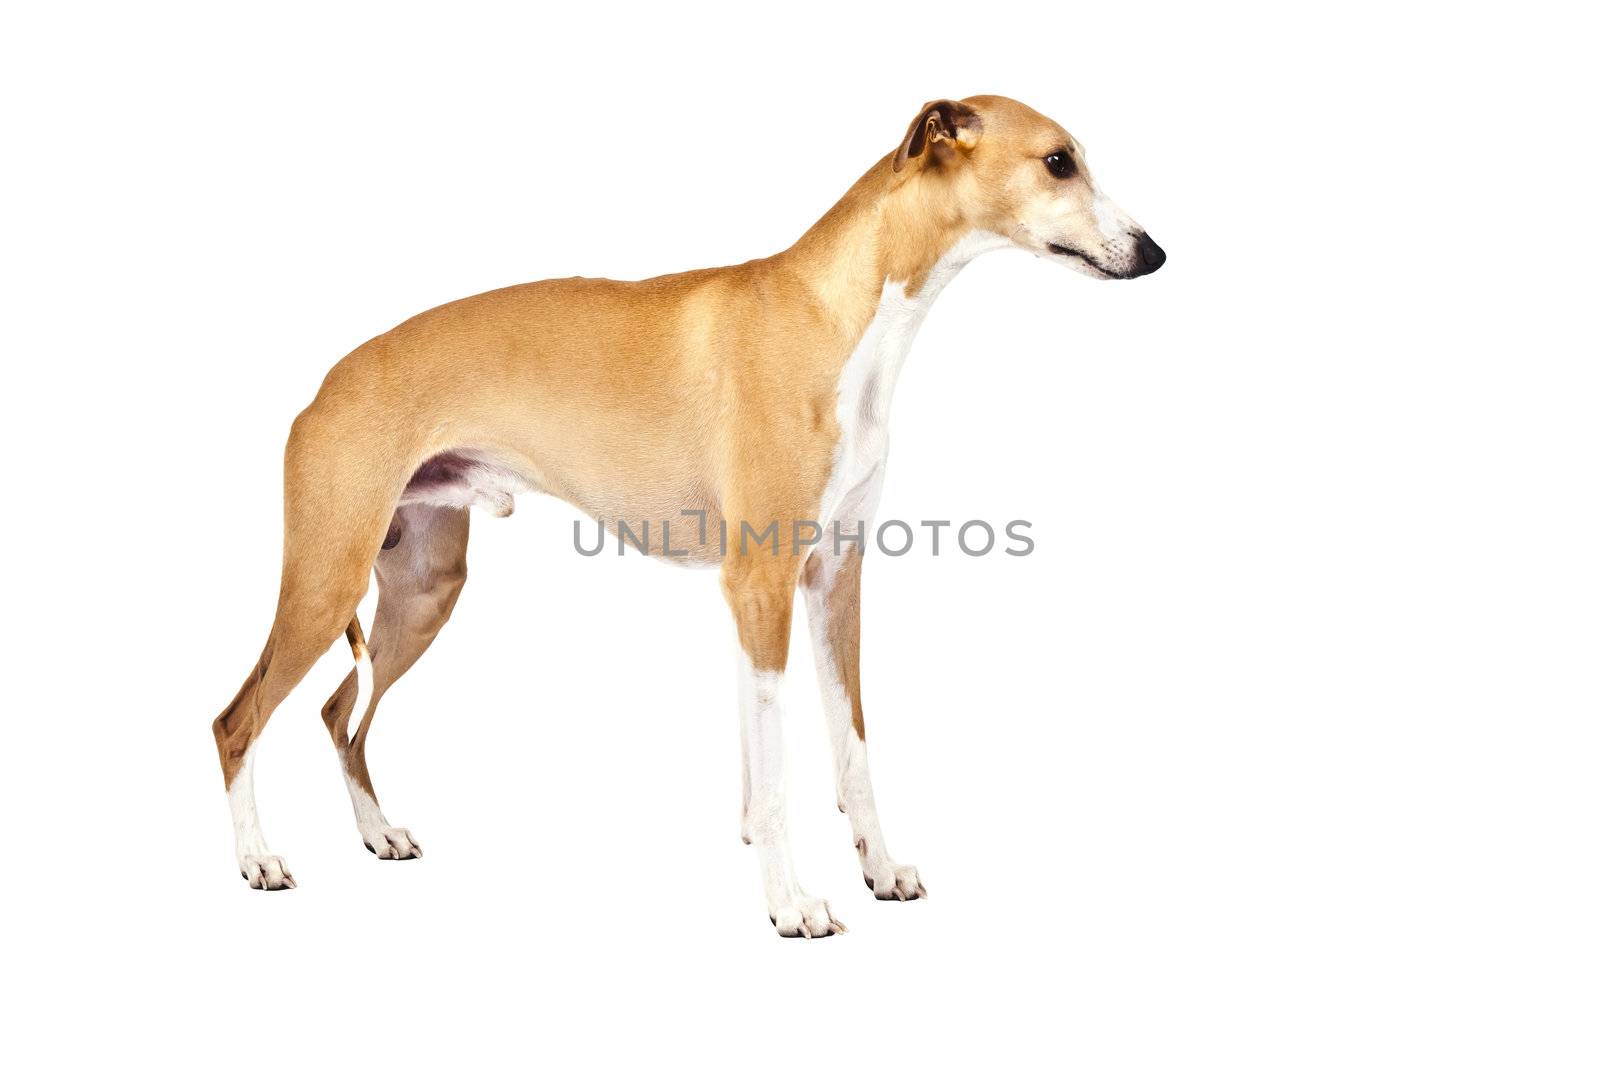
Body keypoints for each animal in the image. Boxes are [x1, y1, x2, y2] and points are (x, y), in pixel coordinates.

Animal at [212, 95, 1164, 940]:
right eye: (1059, 160)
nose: (1154, 252)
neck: (837, 313)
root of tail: (326, 382)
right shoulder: (760, 585)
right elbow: (776, 773)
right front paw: (792, 905)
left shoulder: (831, 580)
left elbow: (848, 750)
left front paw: (880, 869)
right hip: (327, 578)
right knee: (239, 718)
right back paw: (258, 859)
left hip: (420, 589)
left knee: (339, 711)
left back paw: (378, 832)